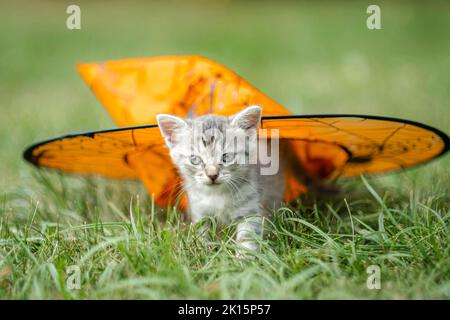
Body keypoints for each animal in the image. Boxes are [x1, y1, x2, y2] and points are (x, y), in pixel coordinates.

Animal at [156, 106, 284, 251]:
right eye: (195, 159)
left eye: (226, 157)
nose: (212, 175)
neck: (217, 194)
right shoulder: (200, 211)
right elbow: (201, 235)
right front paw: (202, 251)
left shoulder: (250, 210)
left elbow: (247, 239)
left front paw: (244, 256)